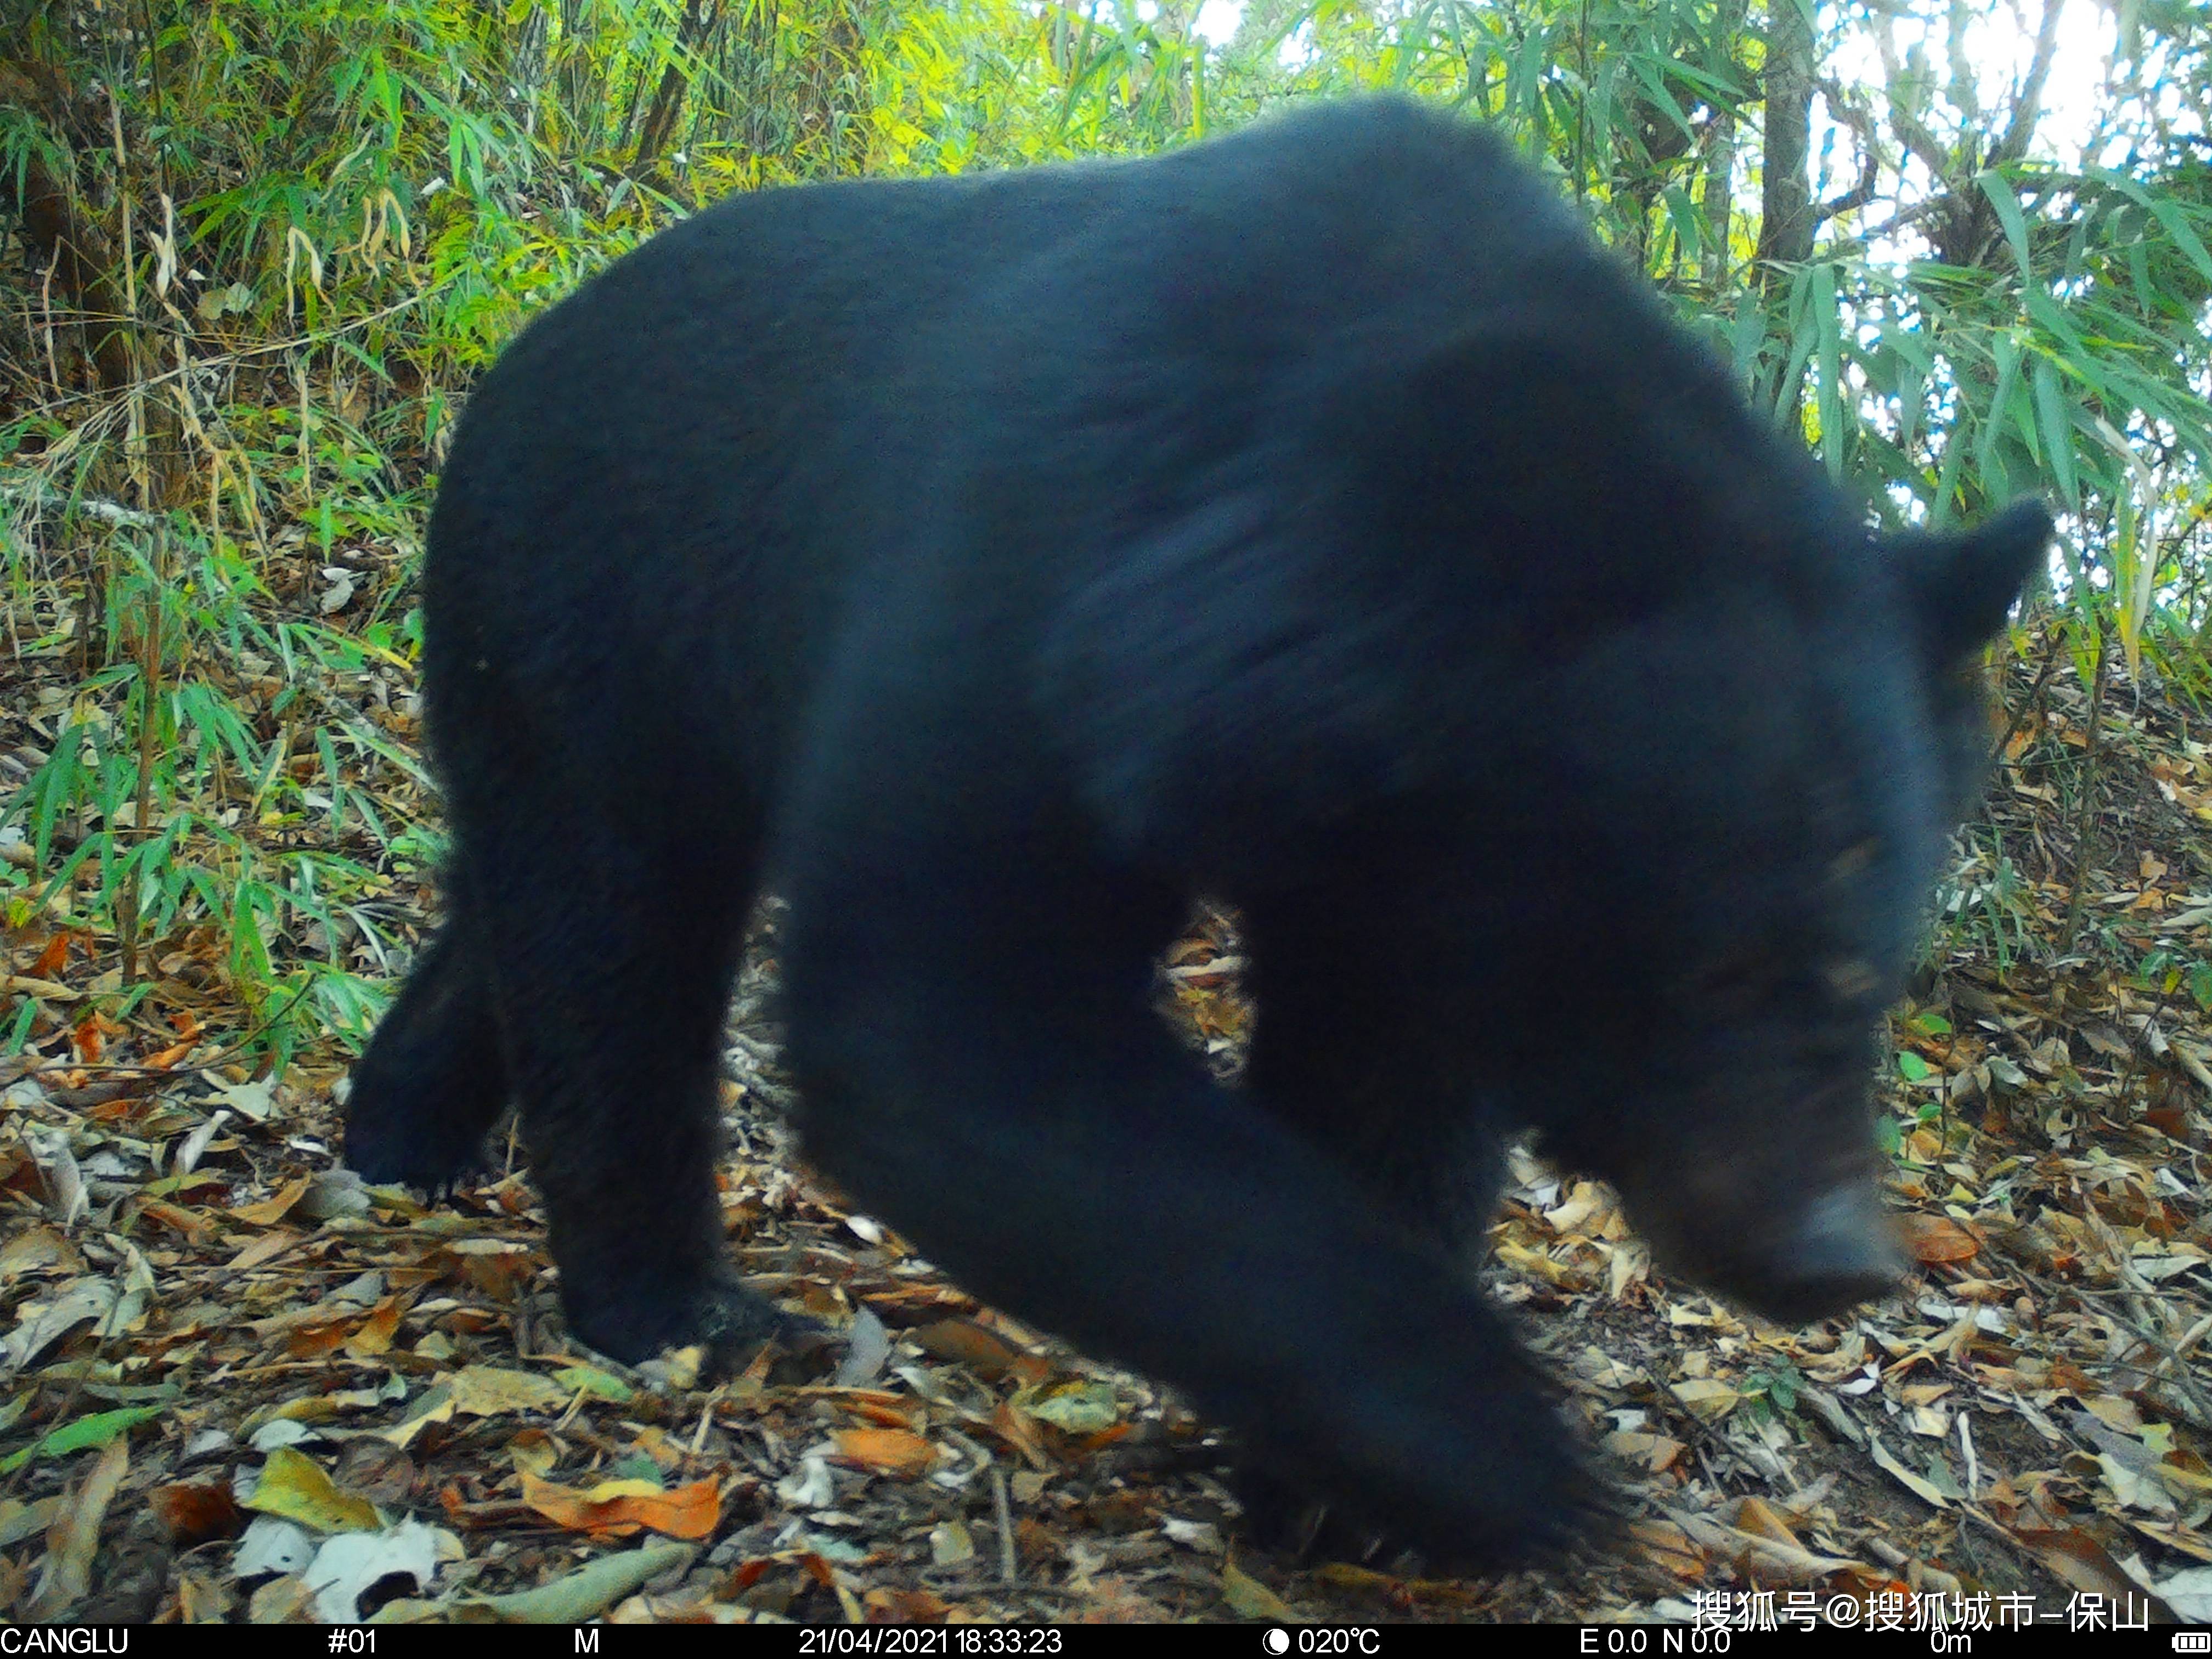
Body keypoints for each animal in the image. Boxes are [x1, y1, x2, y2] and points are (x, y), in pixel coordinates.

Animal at [345, 97, 2052, 1566]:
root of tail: (514, 344)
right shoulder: (1038, 563)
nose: (1834, 1258)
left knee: (522, 908)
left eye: (1871, 969)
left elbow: (1382, 1085)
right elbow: (953, 1021)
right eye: (1718, 966)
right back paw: (677, 1302)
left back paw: (405, 1130)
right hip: (597, 599)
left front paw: (1337, 1494)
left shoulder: (1407, 861)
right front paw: (1509, 1456)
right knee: (613, 927)